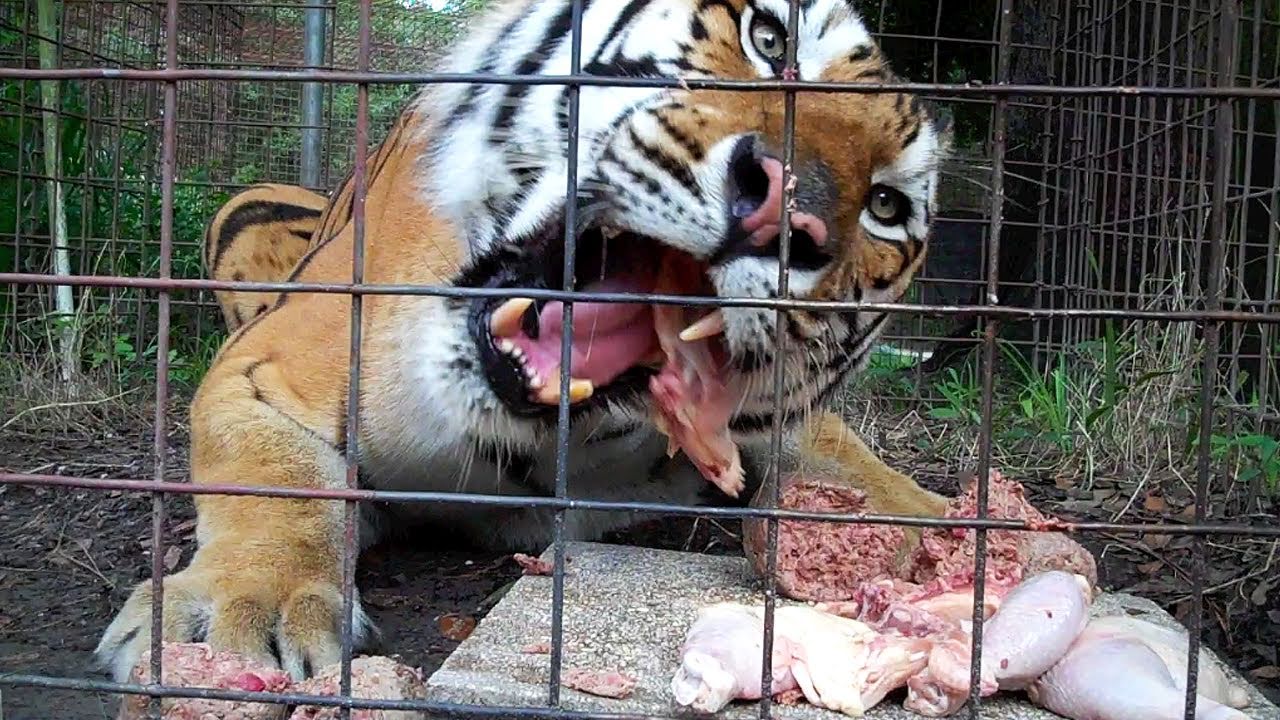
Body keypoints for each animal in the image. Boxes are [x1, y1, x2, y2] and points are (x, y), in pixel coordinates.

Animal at [96, 0, 952, 682]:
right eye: (770, 39)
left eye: (887, 206)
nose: (788, 211)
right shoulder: (260, 368)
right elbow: (278, 477)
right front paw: (248, 610)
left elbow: (841, 452)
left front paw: (933, 529)